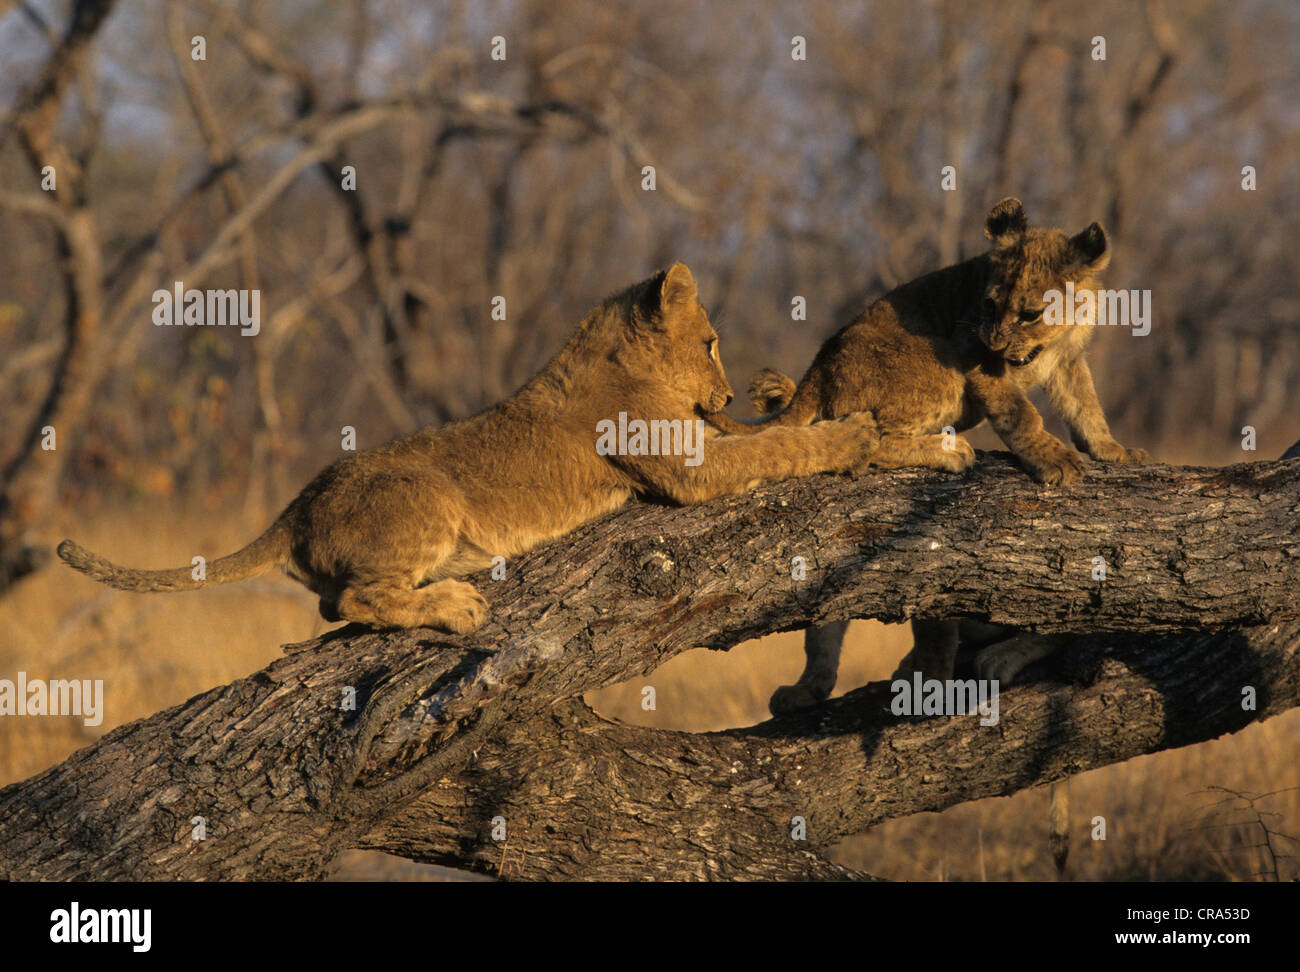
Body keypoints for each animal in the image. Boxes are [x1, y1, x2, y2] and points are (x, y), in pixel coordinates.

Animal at [59, 263, 878, 632]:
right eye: (709, 342)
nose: (731, 395)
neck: (621, 356)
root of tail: (296, 505)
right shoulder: (691, 467)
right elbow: (778, 452)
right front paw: (856, 434)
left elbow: (777, 438)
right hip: (429, 495)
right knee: (354, 598)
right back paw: (455, 604)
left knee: (332, 604)